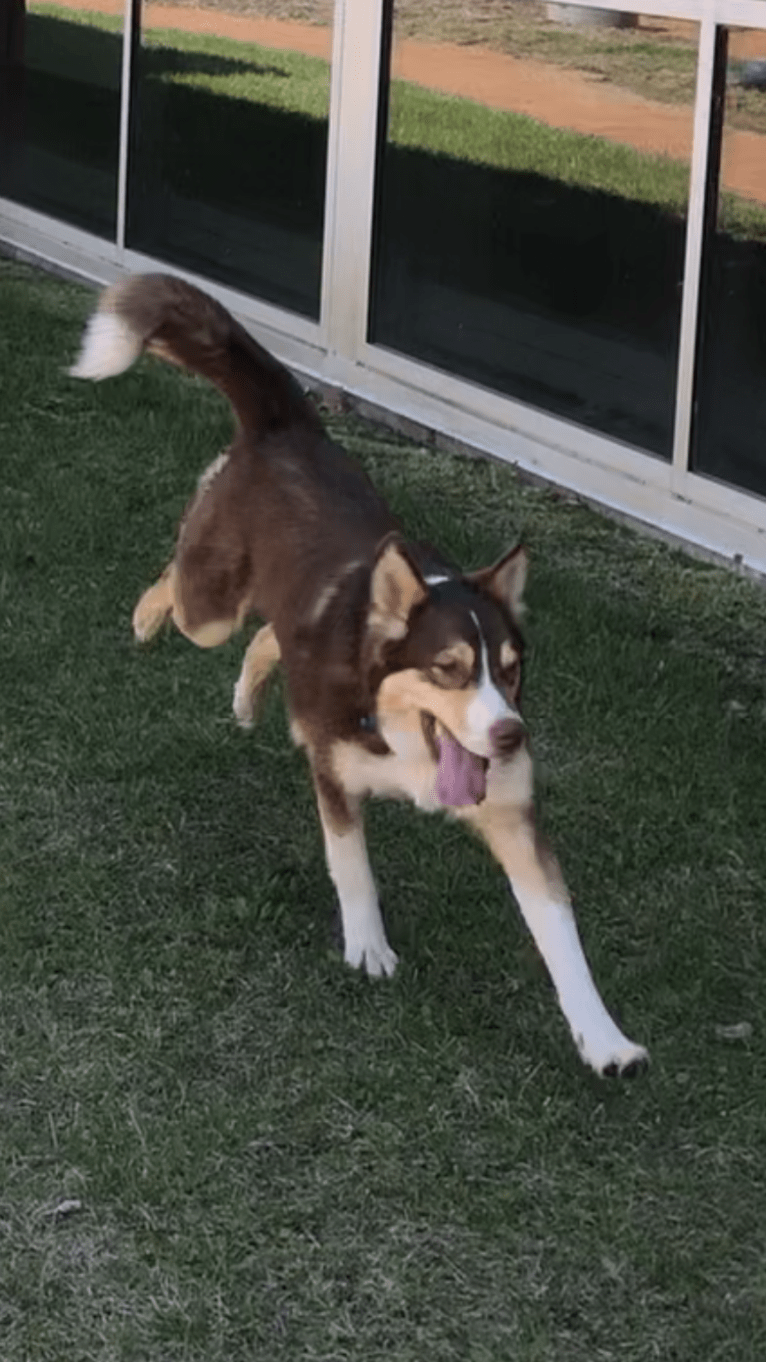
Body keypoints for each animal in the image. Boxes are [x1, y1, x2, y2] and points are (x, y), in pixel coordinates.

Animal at [70, 276, 643, 1078]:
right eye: (448, 669)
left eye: (510, 671)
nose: (509, 736)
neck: (402, 733)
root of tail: (288, 425)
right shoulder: (334, 773)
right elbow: (353, 867)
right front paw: (368, 947)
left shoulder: (512, 816)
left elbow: (564, 940)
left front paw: (605, 1039)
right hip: (210, 605)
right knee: (176, 587)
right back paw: (146, 620)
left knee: (270, 635)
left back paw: (248, 696)